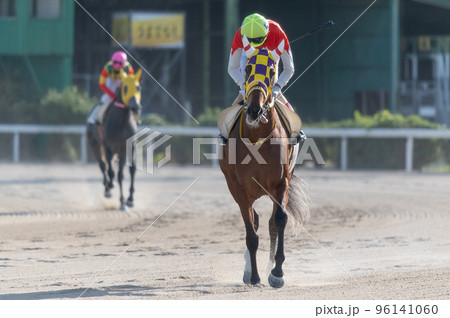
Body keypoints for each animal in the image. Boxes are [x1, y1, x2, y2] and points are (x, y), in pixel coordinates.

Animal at [86, 69, 142, 211]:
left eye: (138, 87)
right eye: (125, 88)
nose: (136, 107)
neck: (121, 122)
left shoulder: (126, 148)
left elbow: (126, 172)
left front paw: (127, 201)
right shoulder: (108, 147)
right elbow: (111, 171)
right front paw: (112, 189)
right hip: (94, 144)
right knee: (102, 165)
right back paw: (107, 188)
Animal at [219, 47, 310, 288]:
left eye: (271, 71)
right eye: (248, 68)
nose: (254, 109)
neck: (256, 136)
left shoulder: (281, 183)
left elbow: (279, 220)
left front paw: (277, 272)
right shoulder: (239, 189)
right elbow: (251, 232)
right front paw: (254, 276)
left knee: (268, 222)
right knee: (255, 220)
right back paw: (249, 270)